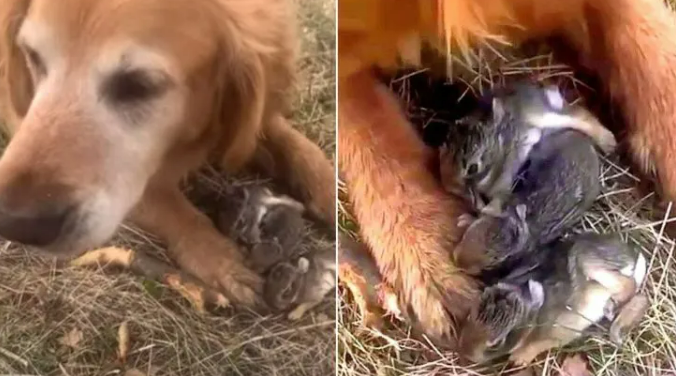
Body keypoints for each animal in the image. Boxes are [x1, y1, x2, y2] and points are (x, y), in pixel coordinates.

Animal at [456, 234, 648, 366]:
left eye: (496, 344)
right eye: (470, 316)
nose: (465, 353)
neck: (532, 317)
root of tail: (632, 255)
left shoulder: (560, 332)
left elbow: (543, 344)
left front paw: (519, 358)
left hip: (591, 264)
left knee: (630, 287)